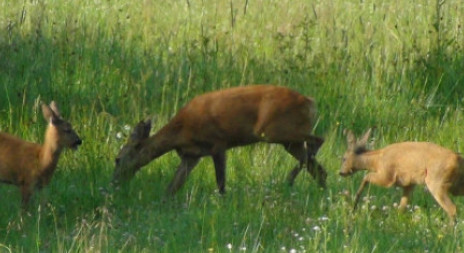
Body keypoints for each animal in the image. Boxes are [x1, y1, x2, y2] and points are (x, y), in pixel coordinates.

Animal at [113, 84, 326, 195]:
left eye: (117, 159)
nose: (114, 182)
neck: (181, 131)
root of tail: (310, 102)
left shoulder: (218, 143)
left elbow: (221, 182)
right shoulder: (191, 155)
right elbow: (173, 186)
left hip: (273, 131)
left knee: (318, 140)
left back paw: (290, 178)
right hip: (287, 140)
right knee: (318, 167)